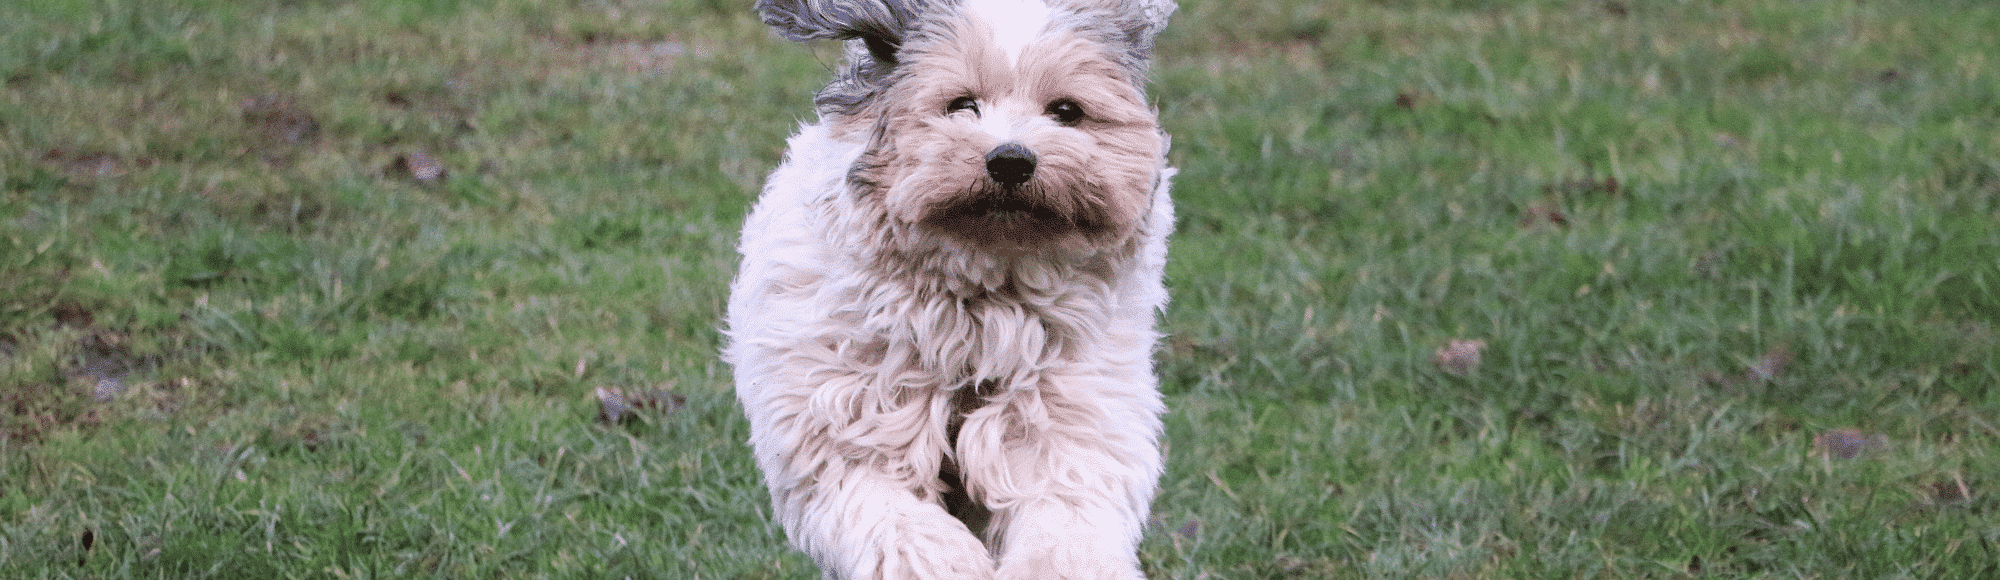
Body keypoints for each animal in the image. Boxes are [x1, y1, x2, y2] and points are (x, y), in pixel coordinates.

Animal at [728, 2, 1176, 576]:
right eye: (961, 104)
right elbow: (904, 526)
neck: (981, 301)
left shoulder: (1064, 426)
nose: (1011, 159)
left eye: (1067, 110)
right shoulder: (849, 428)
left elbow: (1062, 520)